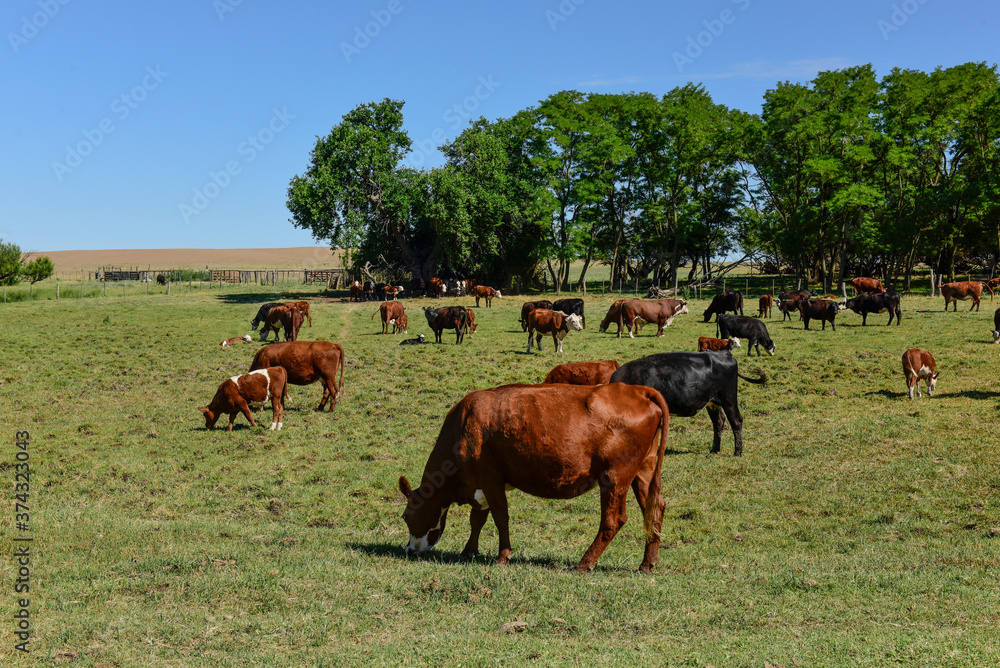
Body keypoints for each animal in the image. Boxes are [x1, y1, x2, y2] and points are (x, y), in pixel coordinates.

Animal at [398, 384, 672, 572]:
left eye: (406, 517)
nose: (409, 551)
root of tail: (637, 390)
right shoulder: (481, 485)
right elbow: (477, 519)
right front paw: (468, 551)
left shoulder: (490, 478)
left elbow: (500, 517)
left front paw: (502, 556)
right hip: (643, 470)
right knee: (655, 508)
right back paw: (647, 563)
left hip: (615, 476)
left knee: (613, 520)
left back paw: (585, 563)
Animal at [608, 352, 764, 456]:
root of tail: (725, 354)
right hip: (712, 402)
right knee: (719, 422)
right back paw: (714, 450)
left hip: (728, 398)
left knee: (736, 421)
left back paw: (738, 452)